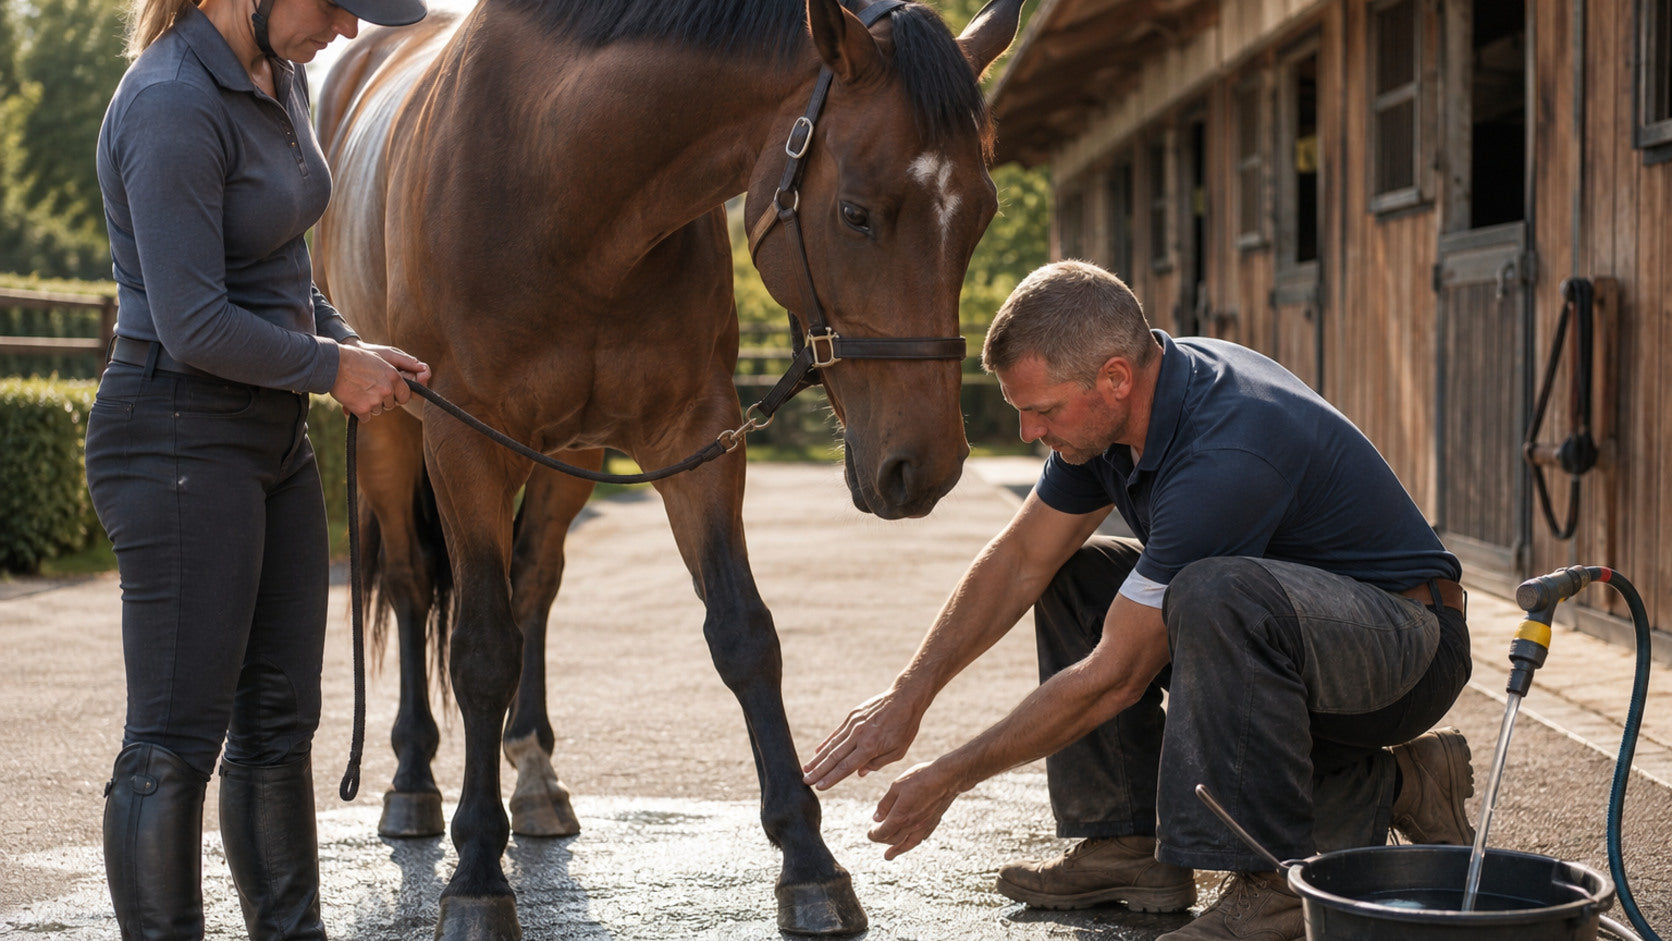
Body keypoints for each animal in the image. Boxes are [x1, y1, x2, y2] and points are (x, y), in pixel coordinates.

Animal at [313, 0, 1022, 935]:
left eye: (980, 212)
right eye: (856, 213)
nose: (927, 466)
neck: (559, 181)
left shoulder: (694, 436)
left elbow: (743, 634)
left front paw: (808, 861)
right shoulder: (463, 439)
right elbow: (480, 649)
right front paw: (475, 873)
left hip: (569, 453)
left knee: (533, 580)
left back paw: (534, 777)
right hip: (392, 428)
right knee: (408, 581)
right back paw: (411, 782)